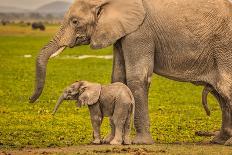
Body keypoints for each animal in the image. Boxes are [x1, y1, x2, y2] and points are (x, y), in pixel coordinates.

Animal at [29, 0, 232, 145]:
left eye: (75, 21)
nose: (31, 99)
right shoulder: (121, 33)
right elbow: (118, 77)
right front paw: (108, 141)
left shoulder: (139, 31)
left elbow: (137, 78)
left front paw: (140, 142)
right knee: (221, 94)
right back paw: (219, 140)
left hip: (224, 49)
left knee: (224, 87)